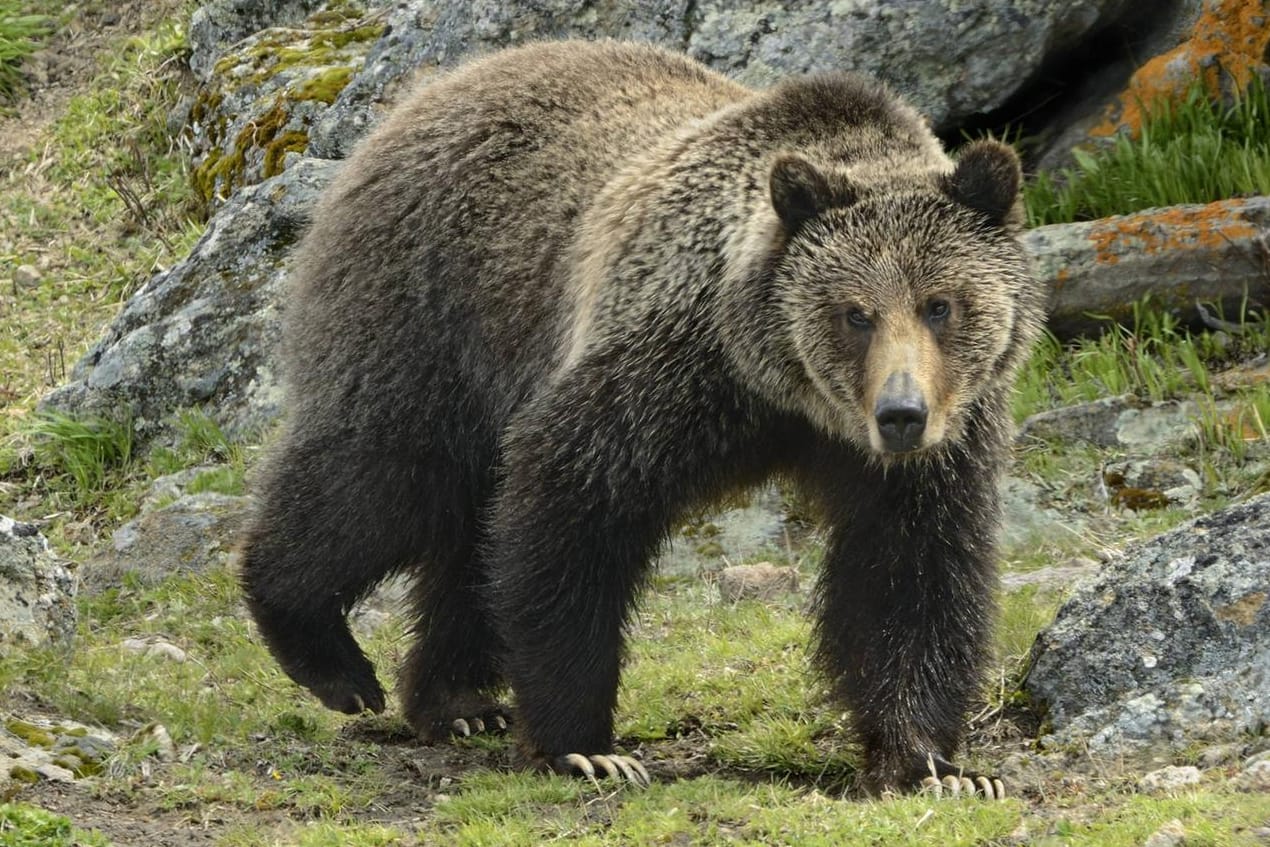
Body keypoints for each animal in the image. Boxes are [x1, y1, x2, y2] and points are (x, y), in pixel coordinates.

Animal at [238, 38, 1041, 797]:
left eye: (940, 303)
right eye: (856, 313)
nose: (901, 413)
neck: (786, 394)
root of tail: (427, 90)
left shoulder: (936, 445)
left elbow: (911, 575)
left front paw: (932, 763)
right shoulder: (666, 367)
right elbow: (574, 509)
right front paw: (586, 747)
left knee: (468, 532)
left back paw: (459, 701)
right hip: (437, 308)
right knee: (387, 475)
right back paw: (326, 653)